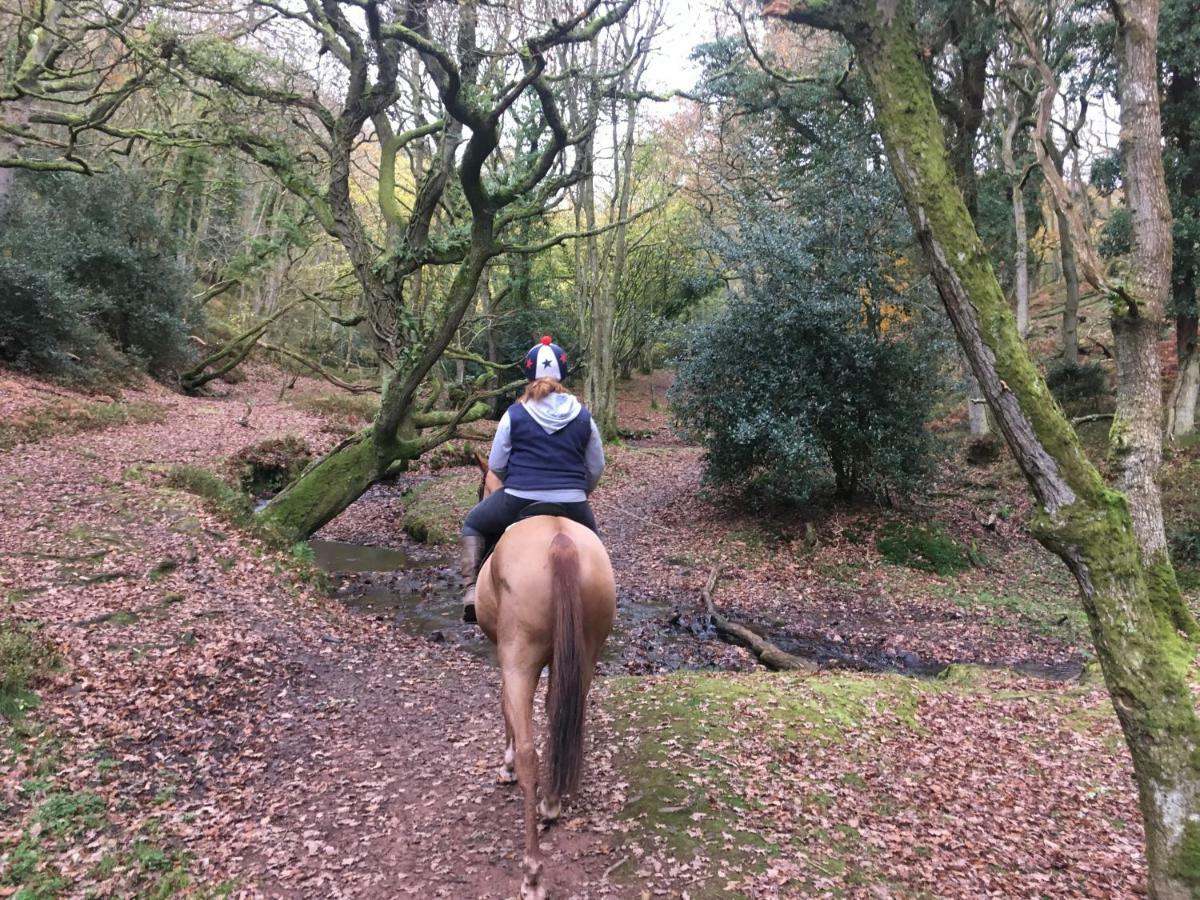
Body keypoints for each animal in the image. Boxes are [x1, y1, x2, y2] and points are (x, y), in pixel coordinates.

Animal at [470, 460, 619, 897]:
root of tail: (560, 542)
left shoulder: (501, 654)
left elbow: (504, 706)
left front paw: (503, 766)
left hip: (519, 657)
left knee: (530, 753)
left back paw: (533, 872)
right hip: (587, 650)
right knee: (562, 718)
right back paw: (551, 803)